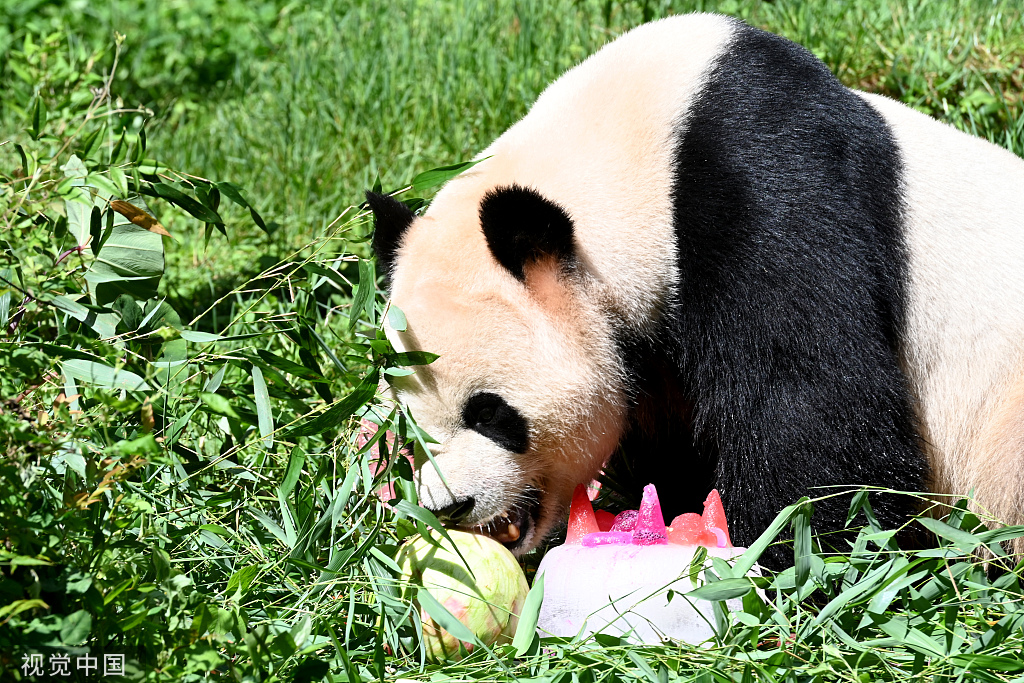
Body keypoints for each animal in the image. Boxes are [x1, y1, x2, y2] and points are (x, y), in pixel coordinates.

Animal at [366, 13, 1024, 565]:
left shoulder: (765, 187)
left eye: (490, 413)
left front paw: (793, 554)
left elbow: (809, 398)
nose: (451, 506)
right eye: (412, 430)